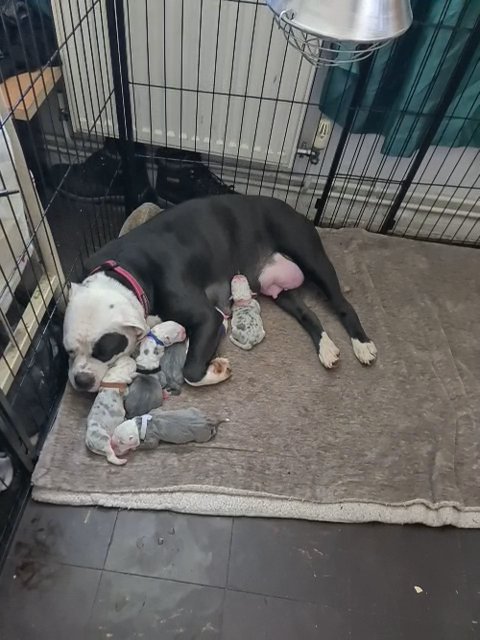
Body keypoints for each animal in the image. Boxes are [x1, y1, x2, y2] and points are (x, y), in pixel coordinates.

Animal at [63, 192, 376, 390]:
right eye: (68, 351)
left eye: (104, 351)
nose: (80, 382)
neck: (126, 272)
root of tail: (293, 207)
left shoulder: (207, 318)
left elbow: (190, 371)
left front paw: (217, 371)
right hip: (276, 289)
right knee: (308, 314)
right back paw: (326, 348)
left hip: (312, 259)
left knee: (342, 303)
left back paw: (362, 344)